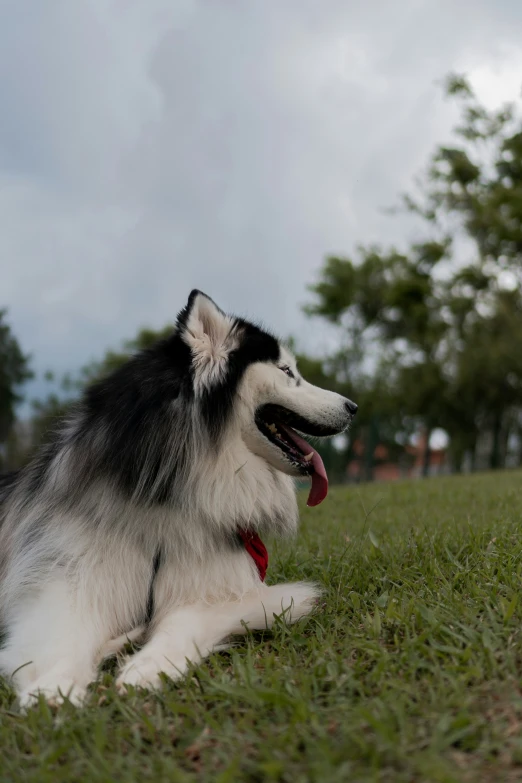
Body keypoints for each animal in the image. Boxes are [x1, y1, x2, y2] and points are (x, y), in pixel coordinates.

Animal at [0, 290, 356, 708]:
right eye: (287, 371)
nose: (353, 407)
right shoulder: (70, 579)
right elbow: (66, 636)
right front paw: (54, 688)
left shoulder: (226, 591)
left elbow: (184, 622)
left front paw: (148, 667)